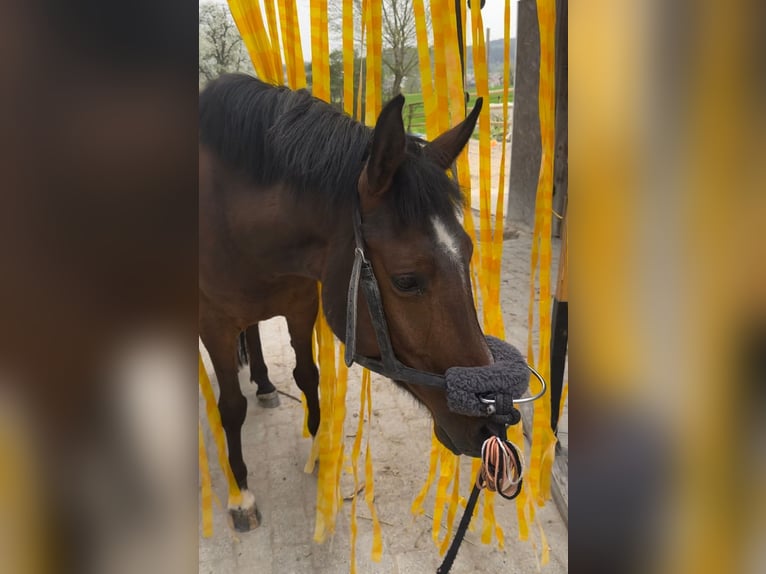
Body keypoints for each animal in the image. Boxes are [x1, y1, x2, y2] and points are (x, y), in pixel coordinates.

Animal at [196, 74, 504, 532]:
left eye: (467, 254)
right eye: (406, 280)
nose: (491, 425)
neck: (229, 220)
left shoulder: (301, 307)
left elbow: (308, 376)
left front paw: (321, 456)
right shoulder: (214, 327)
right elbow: (231, 408)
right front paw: (240, 495)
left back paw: (266, 384)